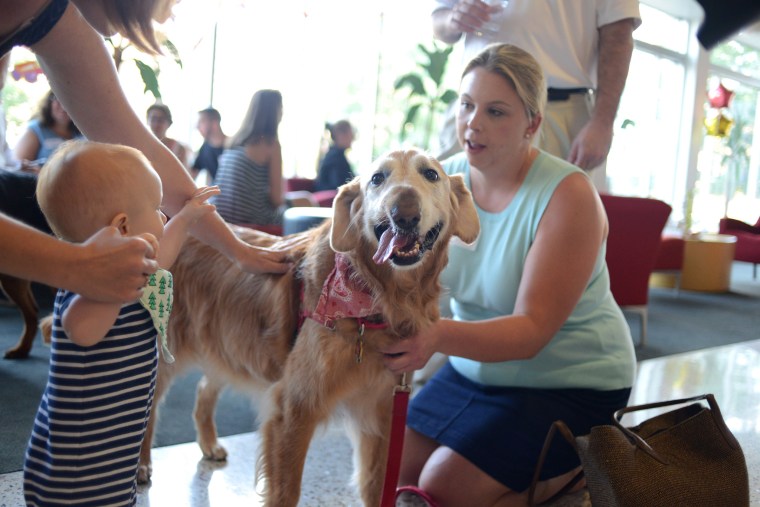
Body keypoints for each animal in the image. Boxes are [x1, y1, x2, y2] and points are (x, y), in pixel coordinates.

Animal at [140, 149, 478, 506]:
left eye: (431, 174)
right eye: (377, 178)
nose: (404, 214)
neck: (376, 296)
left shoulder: (384, 409)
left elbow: (376, 485)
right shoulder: (295, 407)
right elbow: (286, 491)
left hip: (226, 345)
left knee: (205, 388)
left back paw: (208, 444)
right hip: (166, 351)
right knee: (148, 408)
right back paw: (142, 465)